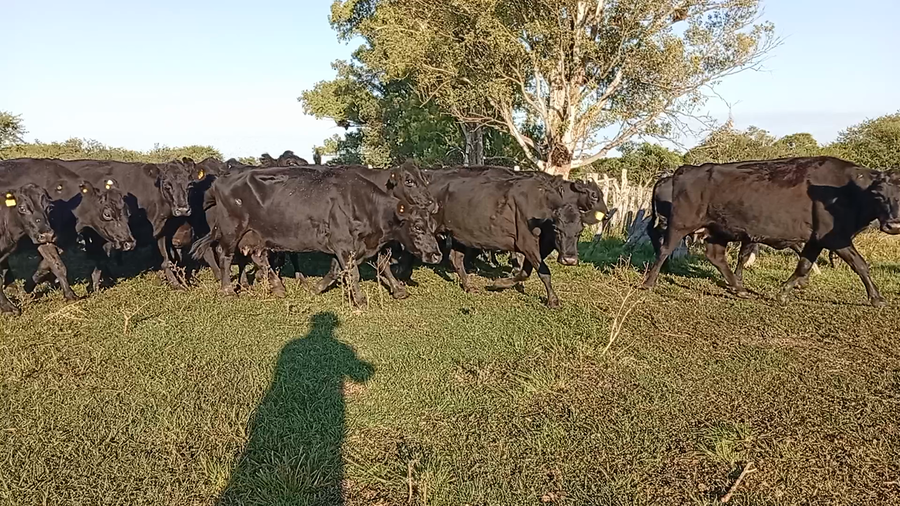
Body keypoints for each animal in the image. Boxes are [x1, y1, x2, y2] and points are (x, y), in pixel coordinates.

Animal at [190, 167, 442, 308]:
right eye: (417, 227)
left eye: (432, 226)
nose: (436, 255)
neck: (362, 203)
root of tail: (221, 180)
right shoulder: (343, 244)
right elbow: (354, 273)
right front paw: (360, 300)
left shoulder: (352, 246)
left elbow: (348, 268)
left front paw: (317, 288)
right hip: (232, 230)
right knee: (225, 255)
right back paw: (227, 290)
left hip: (256, 235)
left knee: (259, 257)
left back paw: (278, 287)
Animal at [641, 157, 900, 306]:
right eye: (879, 194)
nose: (894, 225)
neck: (846, 189)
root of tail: (684, 170)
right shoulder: (835, 238)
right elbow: (860, 264)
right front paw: (877, 299)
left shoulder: (816, 240)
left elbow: (803, 264)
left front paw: (784, 292)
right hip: (680, 224)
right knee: (664, 248)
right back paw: (649, 283)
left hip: (717, 231)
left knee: (716, 257)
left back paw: (739, 289)